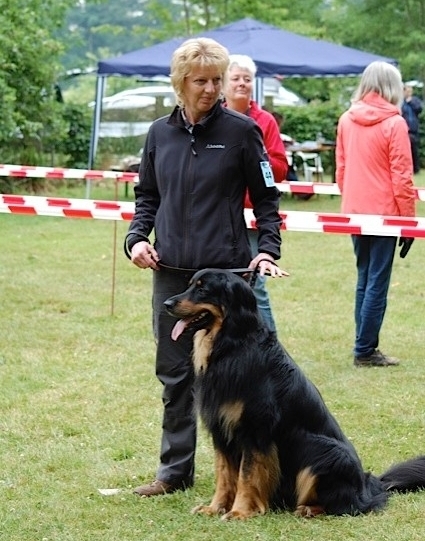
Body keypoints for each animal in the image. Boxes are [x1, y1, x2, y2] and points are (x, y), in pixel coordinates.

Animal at [164, 268, 424, 516]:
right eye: (190, 285)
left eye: (202, 289)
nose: (166, 304)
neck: (232, 345)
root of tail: (368, 486)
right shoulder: (221, 430)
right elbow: (225, 475)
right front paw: (214, 508)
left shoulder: (254, 431)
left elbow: (248, 476)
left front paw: (240, 511)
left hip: (324, 450)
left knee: (351, 506)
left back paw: (309, 508)